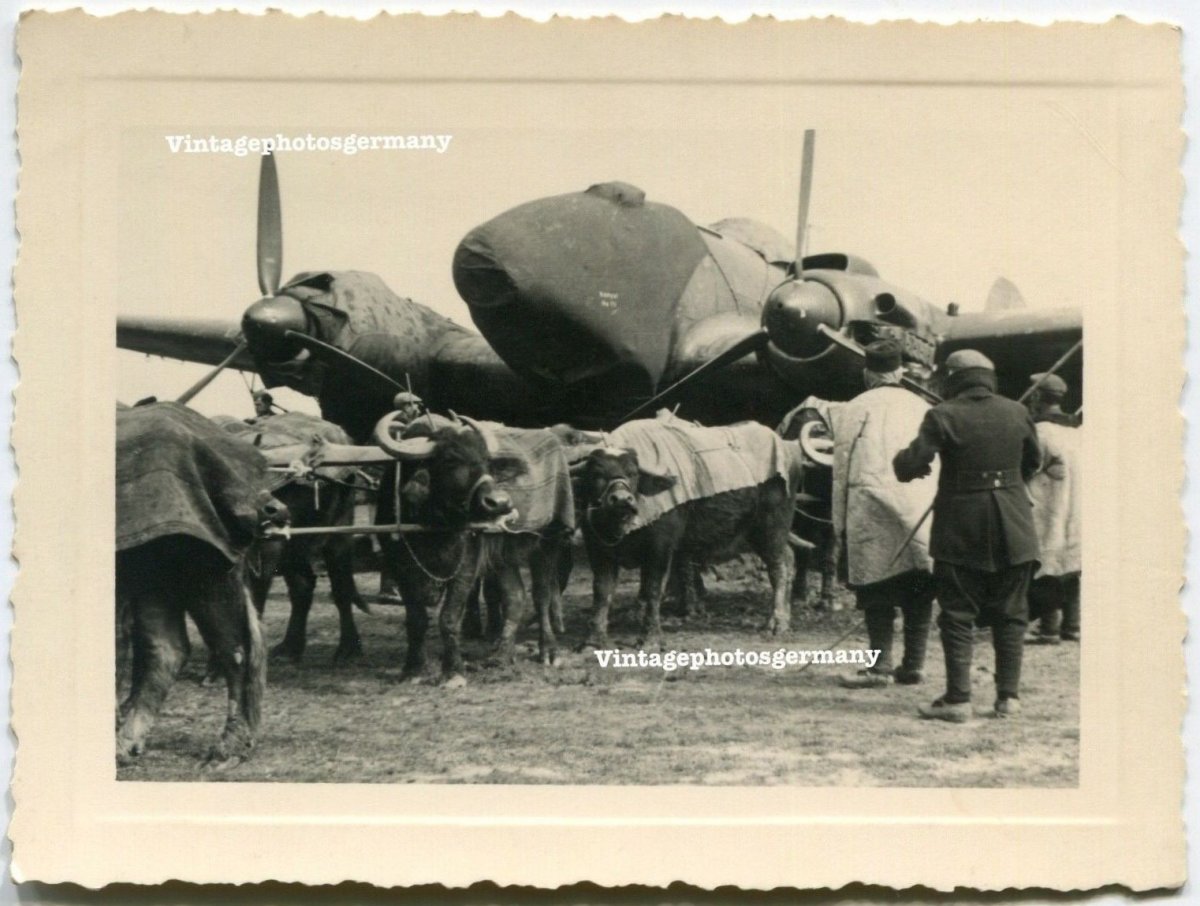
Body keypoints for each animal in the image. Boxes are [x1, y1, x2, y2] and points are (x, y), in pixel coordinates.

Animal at [116, 402, 288, 766]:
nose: (276, 511)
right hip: (159, 578)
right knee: (165, 647)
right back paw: (126, 743)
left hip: (206, 573)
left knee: (234, 649)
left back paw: (229, 748)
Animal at [375, 413, 574, 686]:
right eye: (450, 459)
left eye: (486, 461)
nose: (500, 503)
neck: (433, 525)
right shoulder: (398, 564)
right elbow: (416, 619)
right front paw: (413, 668)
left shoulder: (467, 565)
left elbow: (448, 618)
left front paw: (453, 672)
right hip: (504, 554)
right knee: (515, 597)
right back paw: (501, 656)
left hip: (547, 541)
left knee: (542, 595)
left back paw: (549, 651)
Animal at [571, 416, 803, 649]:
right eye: (596, 474)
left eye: (632, 473)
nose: (621, 499)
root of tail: (787, 449)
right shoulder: (597, 549)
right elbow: (602, 591)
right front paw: (593, 640)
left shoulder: (660, 548)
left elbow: (652, 589)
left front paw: (650, 639)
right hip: (752, 536)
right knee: (790, 557)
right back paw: (783, 619)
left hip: (772, 528)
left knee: (778, 568)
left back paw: (777, 624)